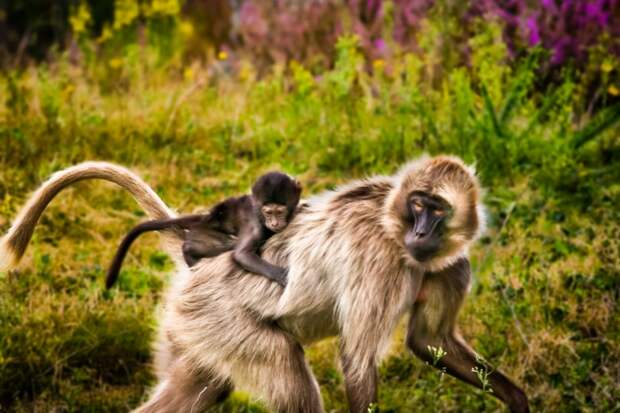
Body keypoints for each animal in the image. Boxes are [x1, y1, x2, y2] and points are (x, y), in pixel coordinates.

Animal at [104, 172, 302, 288]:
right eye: (268, 212)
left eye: (280, 211)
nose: (274, 223)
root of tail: (207, 218)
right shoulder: (255, 226)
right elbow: (241, 255)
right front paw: (280, 274)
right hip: (206, 233)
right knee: (204, 247)